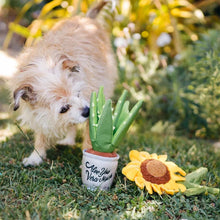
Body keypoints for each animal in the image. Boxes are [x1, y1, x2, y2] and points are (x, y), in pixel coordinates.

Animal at [11, 0, 118, 165]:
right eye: (63, 108)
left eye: (78, 93)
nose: (87, 111)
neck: (47, 59)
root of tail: (86, 18)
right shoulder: (39, 115)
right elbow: (41, 134)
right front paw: (36, 156)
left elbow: (89, 137)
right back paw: (68, 140)